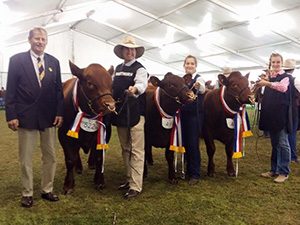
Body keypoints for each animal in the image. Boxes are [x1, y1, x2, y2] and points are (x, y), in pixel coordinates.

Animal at [58, 60, 115, 194]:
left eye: (111, 83)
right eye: (90, 83)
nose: (110, 105)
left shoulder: (106, 133)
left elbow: (100, 157)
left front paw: (99, 181)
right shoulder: (64, 135)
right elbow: (70, 159)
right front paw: (68, 185)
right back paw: (78, 167)